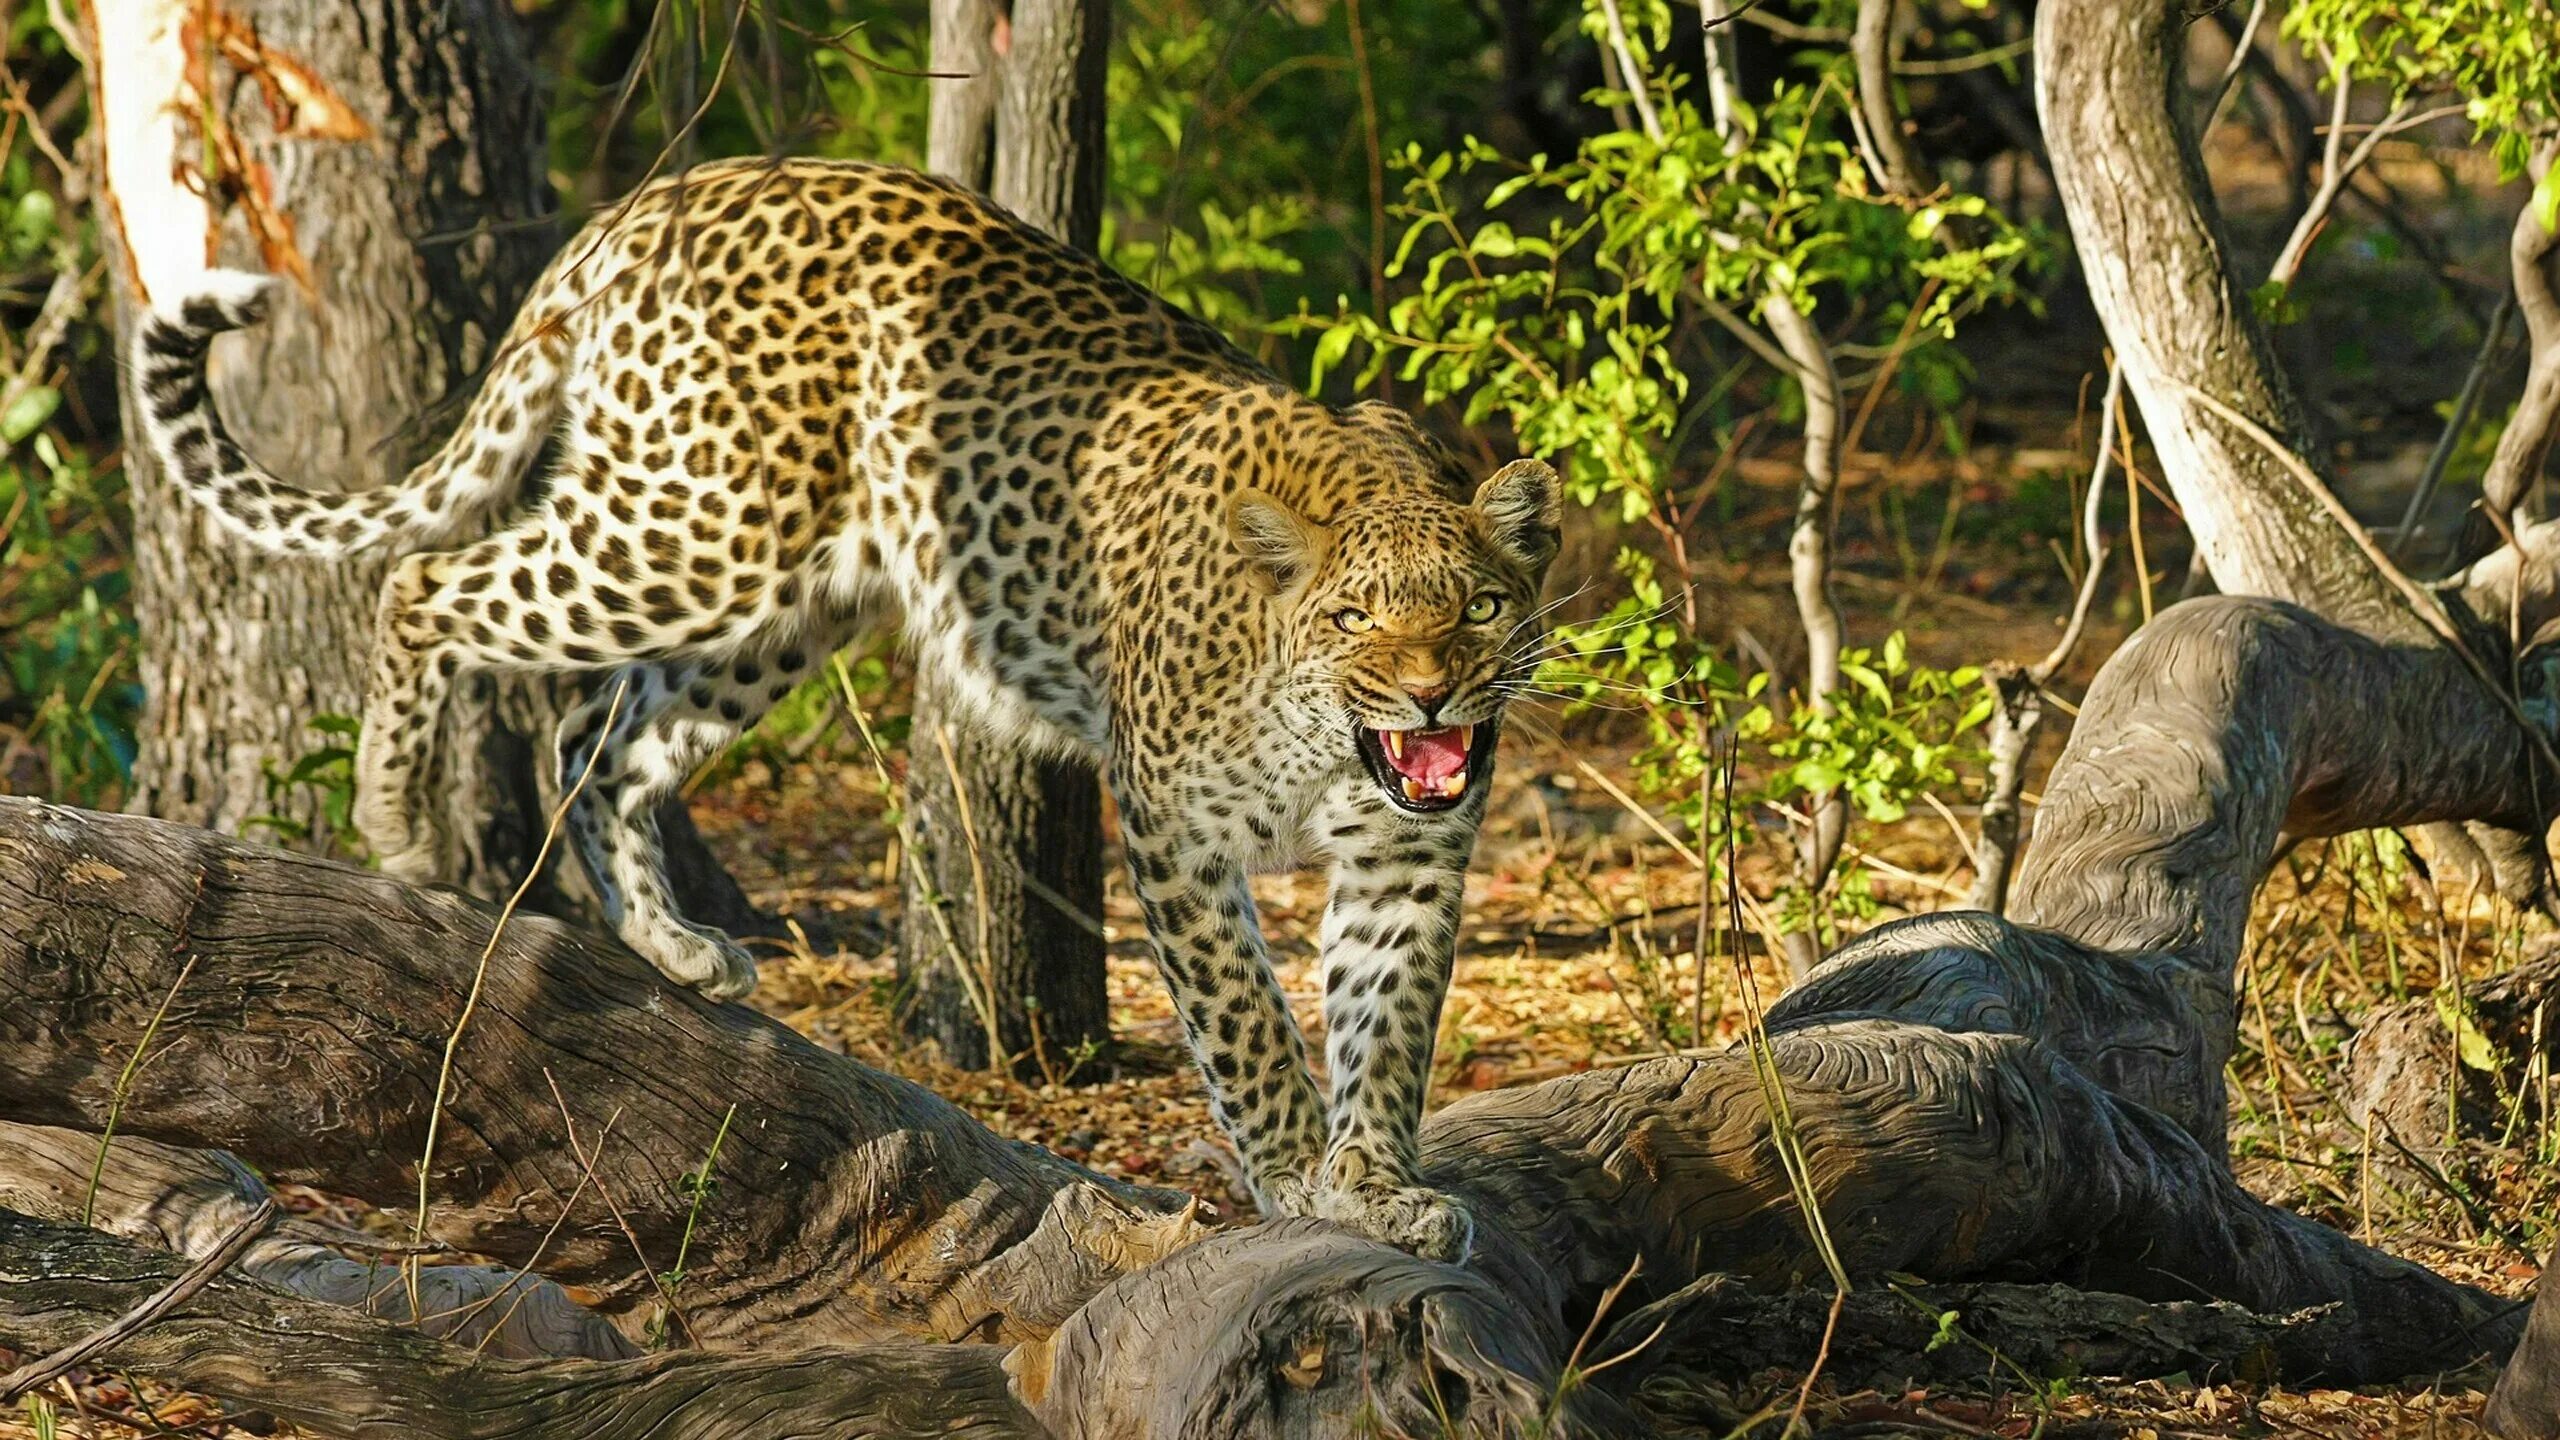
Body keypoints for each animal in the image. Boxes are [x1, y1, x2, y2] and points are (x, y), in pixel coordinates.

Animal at [135, 159, 1556, 1255]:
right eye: (1355, 618)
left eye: (1482, 608)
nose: (1430, 690)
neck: (1330, 738)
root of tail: (650, 201)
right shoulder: (1173, 832)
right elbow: (1250, 1029)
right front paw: (1301, 1178)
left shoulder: (1411, 859)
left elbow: (1388, 1024)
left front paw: (1376, 1188)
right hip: (697, 530)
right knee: (426, 585)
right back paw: (399, 823)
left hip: (782, 604)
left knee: (595, 738)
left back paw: (673, 947)